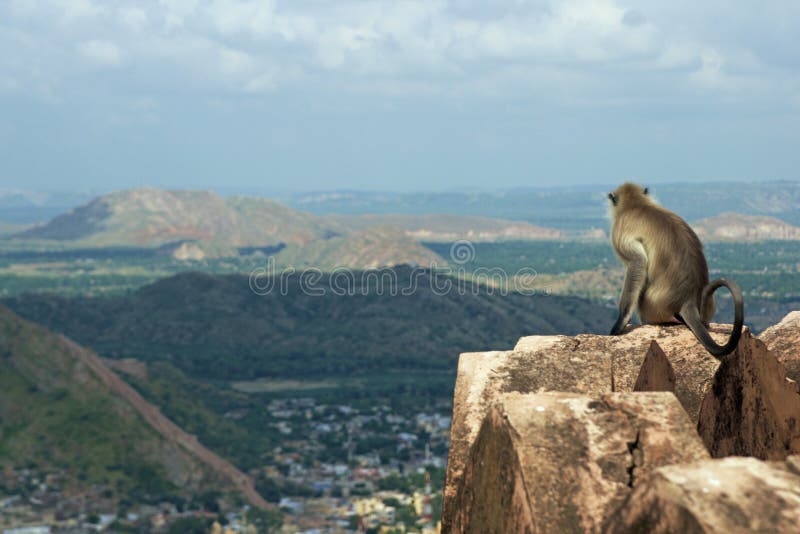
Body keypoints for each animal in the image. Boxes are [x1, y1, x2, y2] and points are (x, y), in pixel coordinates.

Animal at [608, 182, 748, 358]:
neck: (638, 204)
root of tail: (689, 299)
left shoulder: (619, 229)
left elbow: (637, 262)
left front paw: (620, 322)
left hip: (653, 307)